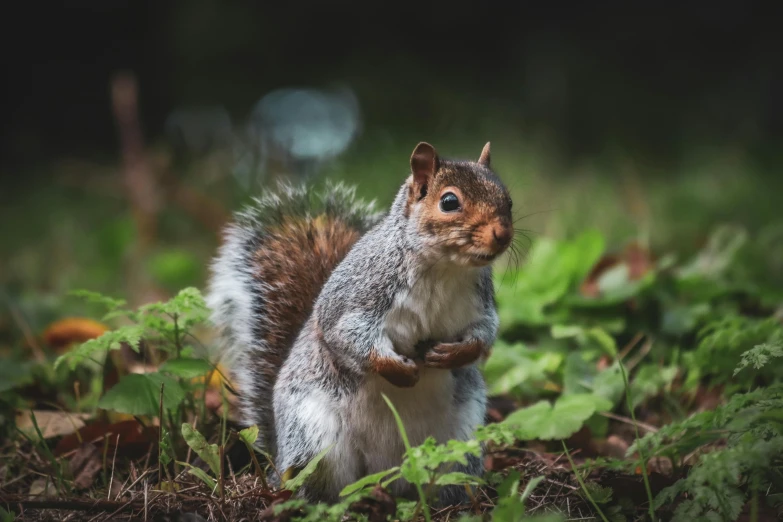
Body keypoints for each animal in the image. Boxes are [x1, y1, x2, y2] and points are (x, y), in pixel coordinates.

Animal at [207, 139, 516, 504]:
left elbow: (484, 334)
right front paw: (398, 369)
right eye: (449, 202)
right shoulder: (357, 297)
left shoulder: (482, 306)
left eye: (508, 198)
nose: (502, 234)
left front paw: (454, 354)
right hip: (316, 442)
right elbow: (347, 336)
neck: (446, 267)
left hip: (459, 444)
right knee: (326, 490)